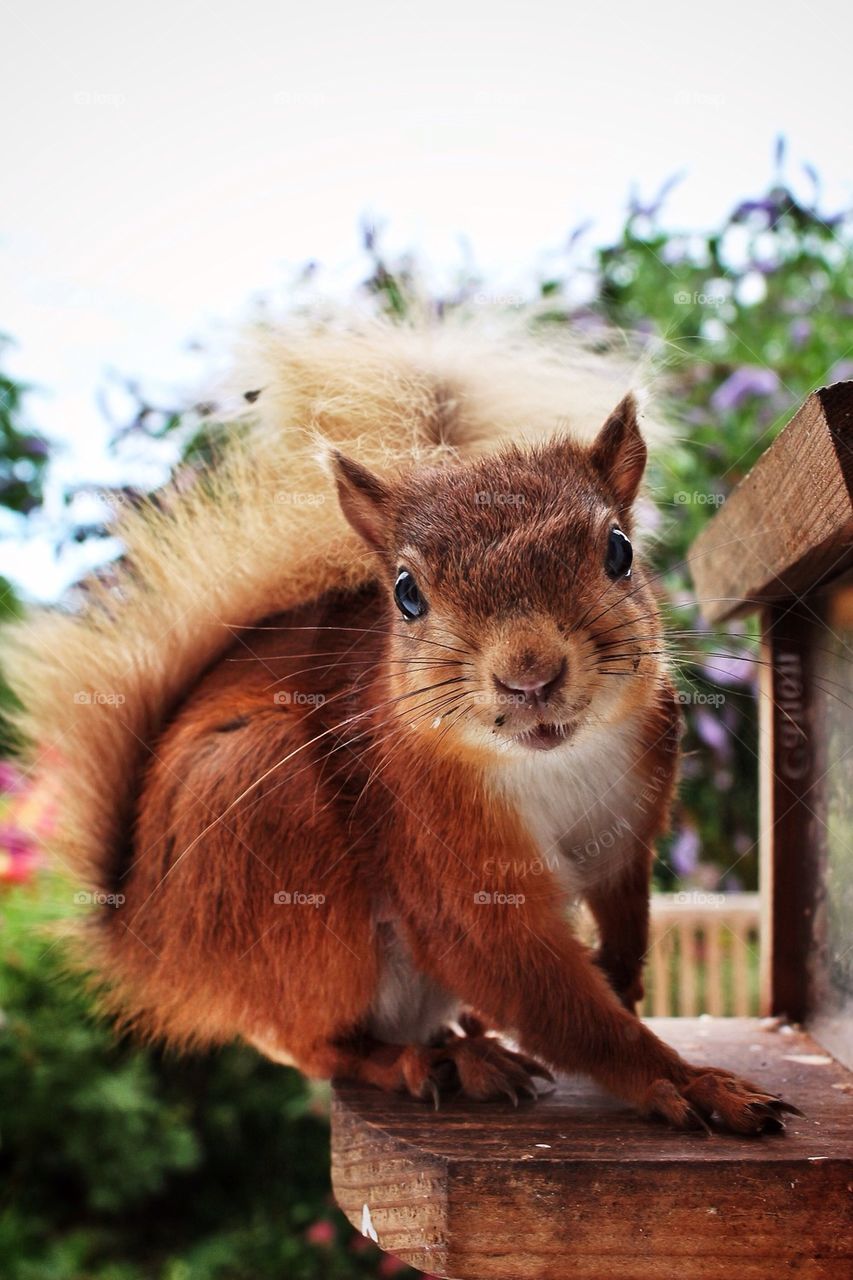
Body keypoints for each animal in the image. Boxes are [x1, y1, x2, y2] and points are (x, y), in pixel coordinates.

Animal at [9, 314, 799, 1136]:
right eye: (406, 593)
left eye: (619, 550)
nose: (530, 676)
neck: (550, 763)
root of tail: (149, 944)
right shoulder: (442, 857)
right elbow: (538, 991)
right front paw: (692, 1083)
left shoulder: (626, 831)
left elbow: (624, 916)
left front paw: (621, 978)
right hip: (276, 847)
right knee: (317, 1046)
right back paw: (431, 1062)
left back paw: (464, 1042)